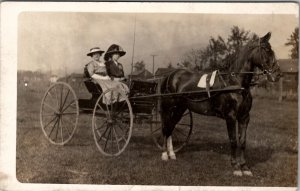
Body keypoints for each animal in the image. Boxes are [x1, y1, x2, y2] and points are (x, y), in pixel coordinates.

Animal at [159, 32, 282, 176]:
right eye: (266, 50)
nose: (278, 74)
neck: (236, 83)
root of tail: (170, 76)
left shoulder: (244, 117)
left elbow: (242, 141)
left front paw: (245, 167)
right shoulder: (230, 117)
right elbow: (233, 140)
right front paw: (235, 167)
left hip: (180, 108)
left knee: (171, 127)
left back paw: (172, 154)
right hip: (169, 108)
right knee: (166, 128)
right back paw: (164, 155)